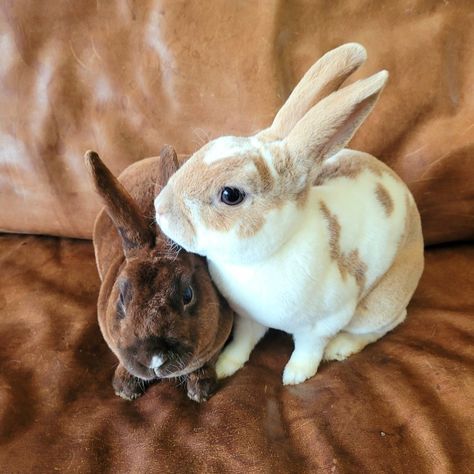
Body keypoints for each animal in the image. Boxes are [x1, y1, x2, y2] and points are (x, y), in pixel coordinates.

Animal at [154, 43, 424, 386]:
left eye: (231, 195)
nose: (160, 208)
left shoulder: (322, 324)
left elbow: (308, 350)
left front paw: (295, 376)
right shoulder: (247, 318)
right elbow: (243, 342)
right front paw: (226, 365)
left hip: (377, 305)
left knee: (387, 323)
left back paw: (341, 347)